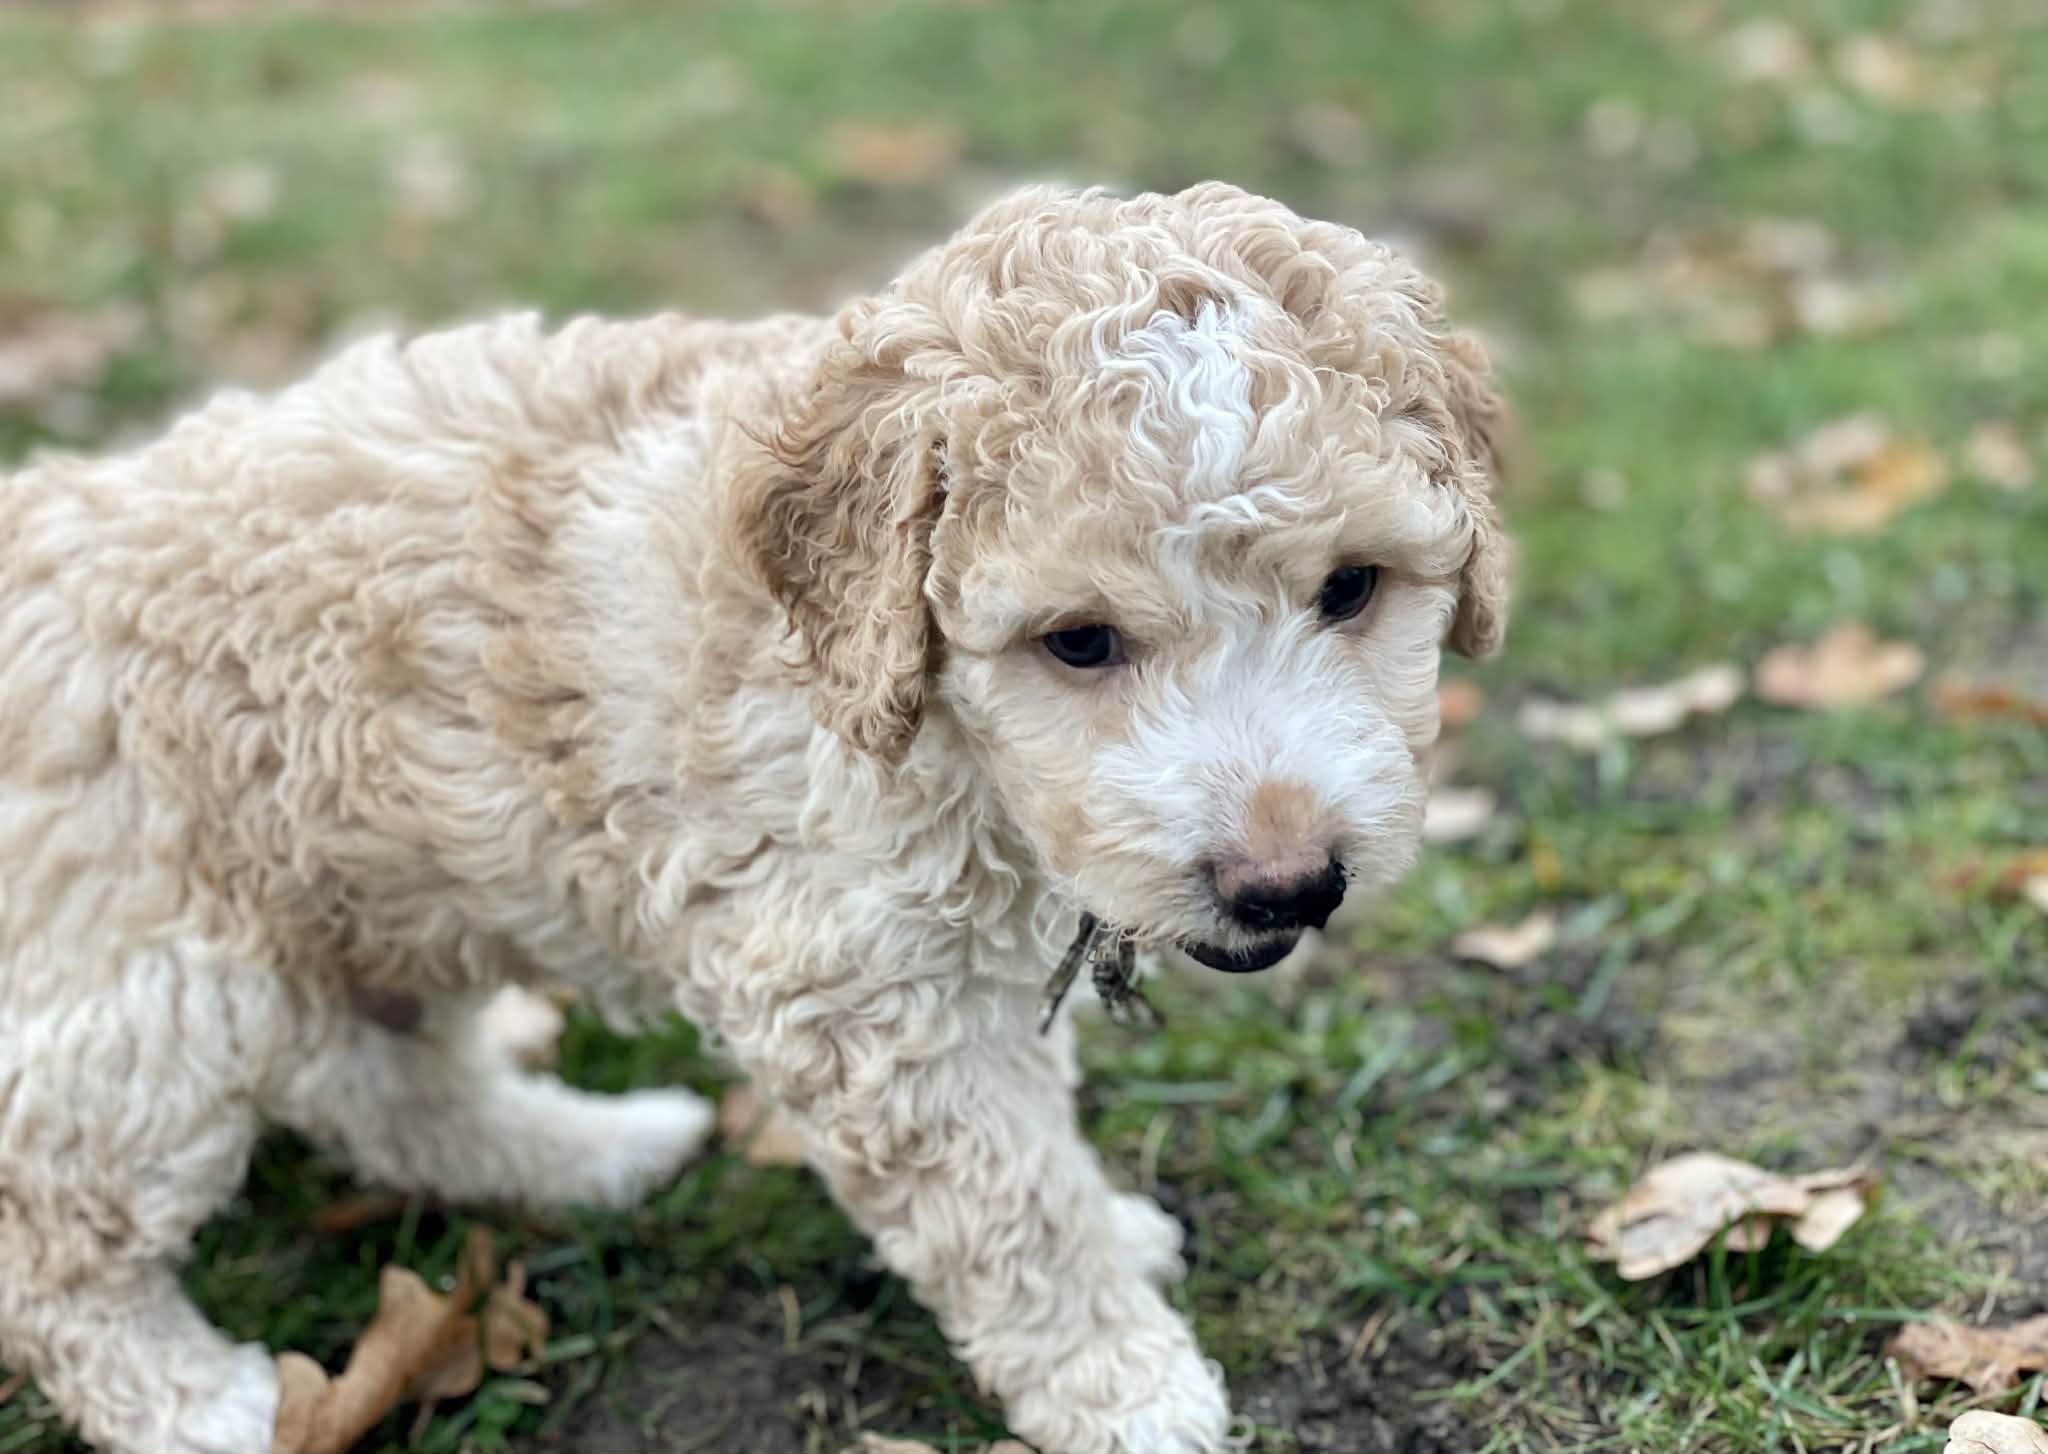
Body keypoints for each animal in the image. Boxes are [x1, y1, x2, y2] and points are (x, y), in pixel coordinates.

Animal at [0, 181, 1506, 1454]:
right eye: (1079, 641)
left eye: (1352, 586)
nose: (1285, 882)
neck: (911, 716)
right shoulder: (858, 999)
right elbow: (1007, 1208)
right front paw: (1124, 1383)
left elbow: (1038, 1123)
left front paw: (1110, 1237)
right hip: (151, 984)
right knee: (54, 1227)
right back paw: (201, 1402)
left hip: (357, 899)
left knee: (393, 1088)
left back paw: (593, 1150)